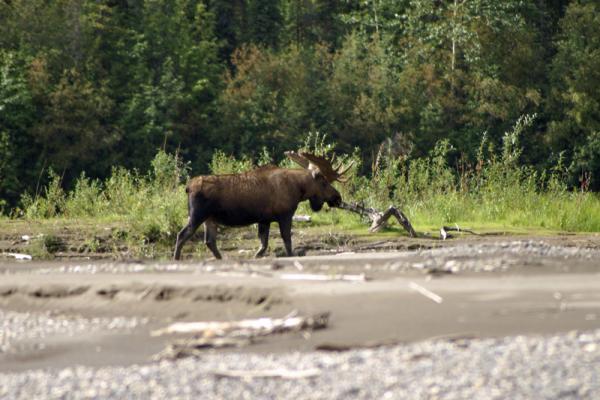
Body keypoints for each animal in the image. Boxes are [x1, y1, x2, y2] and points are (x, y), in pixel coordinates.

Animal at [172, 151, 352, 260]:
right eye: (324, 182)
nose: (337, 197)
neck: (298, 189)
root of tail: (188, 187)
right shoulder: (285, 214)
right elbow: (287, 241)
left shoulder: (264, 219)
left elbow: (263, 245)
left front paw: (255, 257)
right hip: (197, 215)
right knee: (182, 235)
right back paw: (176, 258)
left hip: (210, 219)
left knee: (209, 241)